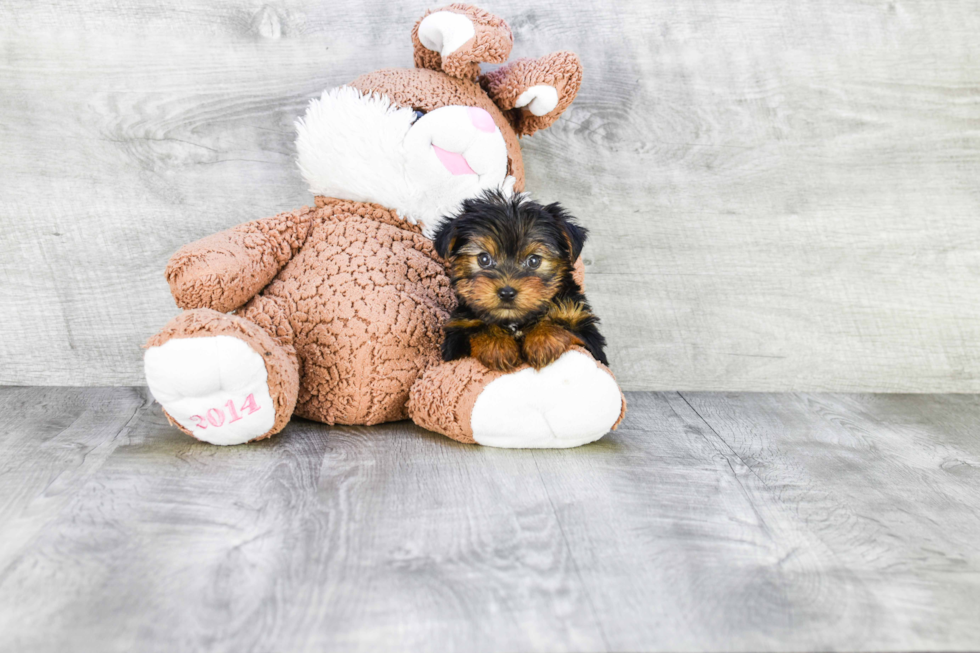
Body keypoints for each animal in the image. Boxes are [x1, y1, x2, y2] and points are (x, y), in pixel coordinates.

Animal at [434, 190, 608, 372]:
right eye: (484, 259)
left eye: (534, 260)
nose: (507, 293)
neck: (515, 322)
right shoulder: (458, 331)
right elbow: (477, 331)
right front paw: (498, 345)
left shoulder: (580, 323)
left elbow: (564, 327)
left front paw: (542, 339)